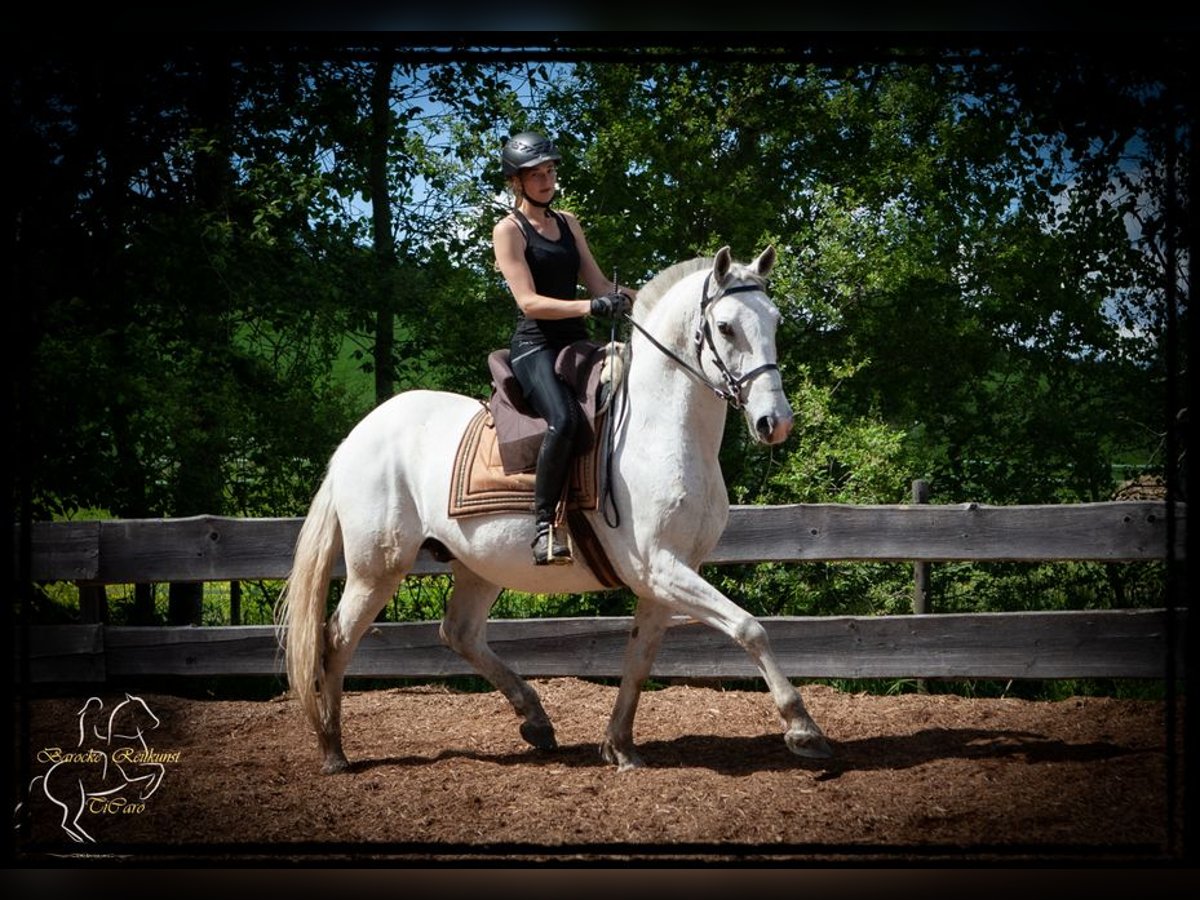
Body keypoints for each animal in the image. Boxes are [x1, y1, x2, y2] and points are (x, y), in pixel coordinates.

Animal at [277, 247, 835, 777]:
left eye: (775, 321)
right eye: (725, 327)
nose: (775, 422)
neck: (661, 431)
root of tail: (360, 434)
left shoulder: (667, 576)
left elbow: (640, 657)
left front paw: (620, 745)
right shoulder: (661, 569)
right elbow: (749, 628)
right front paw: (803, 729)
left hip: (478, 566)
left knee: (458, 632)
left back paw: (536, 720)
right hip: (377, 569)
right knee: (335, 640)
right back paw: (332, 749)